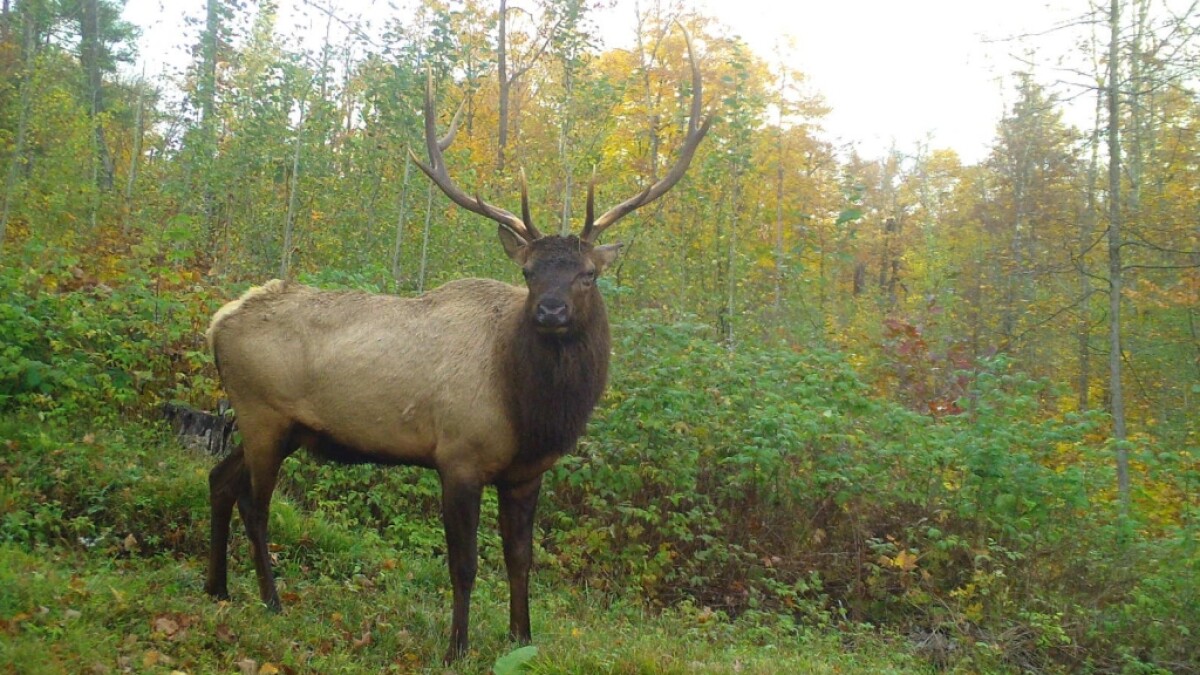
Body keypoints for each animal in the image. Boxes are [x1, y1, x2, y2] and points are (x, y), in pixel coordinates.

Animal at [203, 27, 711, 663]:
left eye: (588, 275)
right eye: (528, 273)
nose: (549, 310)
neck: (531, 411)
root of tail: (217, 324)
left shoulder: (526, 473)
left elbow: (520, 559)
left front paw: (522, 637)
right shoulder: (459, 457)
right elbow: (464, 566)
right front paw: (457, 648)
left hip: (282, 426)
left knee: (219, 480)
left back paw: (217, 588)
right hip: (263, 412)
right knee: (255, 500)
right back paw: (269, 599)